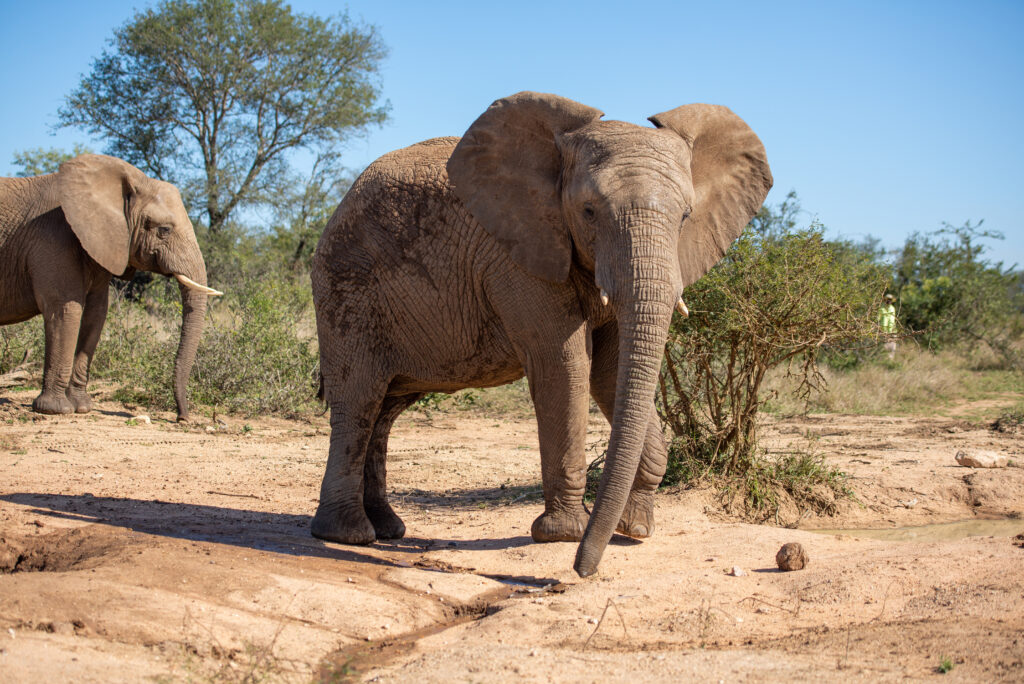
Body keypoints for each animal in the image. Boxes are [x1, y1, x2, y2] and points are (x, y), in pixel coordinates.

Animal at [0, 154, 221, 421]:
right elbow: (65, 309)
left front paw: (82, 407)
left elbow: (97, 313)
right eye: (164, 230)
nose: (182, 417)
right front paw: (56, 410)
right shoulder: (52, 238)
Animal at [310, 92, 772, 577]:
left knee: (385, 409)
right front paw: (564, 534)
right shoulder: (516, 257)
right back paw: (347, 535)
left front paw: (636, 529)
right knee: (359, 399)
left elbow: (610, 374)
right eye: (588, 211)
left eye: (685, 216)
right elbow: (565, 364)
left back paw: (388, 530)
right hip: (346, 290)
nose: (582, 570)